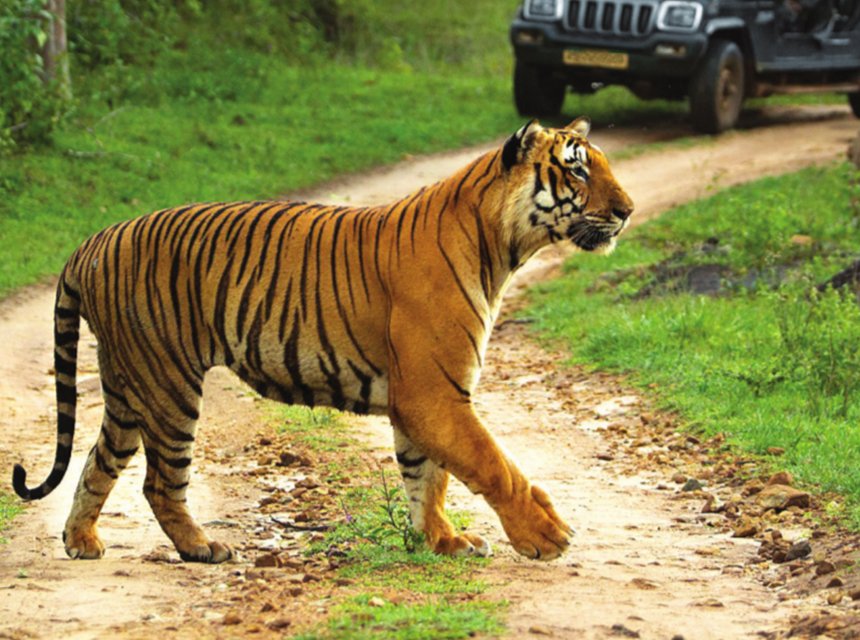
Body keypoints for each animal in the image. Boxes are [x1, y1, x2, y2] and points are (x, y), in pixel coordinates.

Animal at [11, 117, 632, 564]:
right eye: (578, 172)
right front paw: (544, 535)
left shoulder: (423, 396)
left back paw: (81, 541)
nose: (627, 212)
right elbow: (492, 464)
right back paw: (202, 547)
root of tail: (93, 241)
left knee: (97, 462)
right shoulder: (434, 392)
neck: (500, 245)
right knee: (161, 483)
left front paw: (443, 541)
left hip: (127, 386)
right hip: (168, 384)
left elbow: (427, 477)